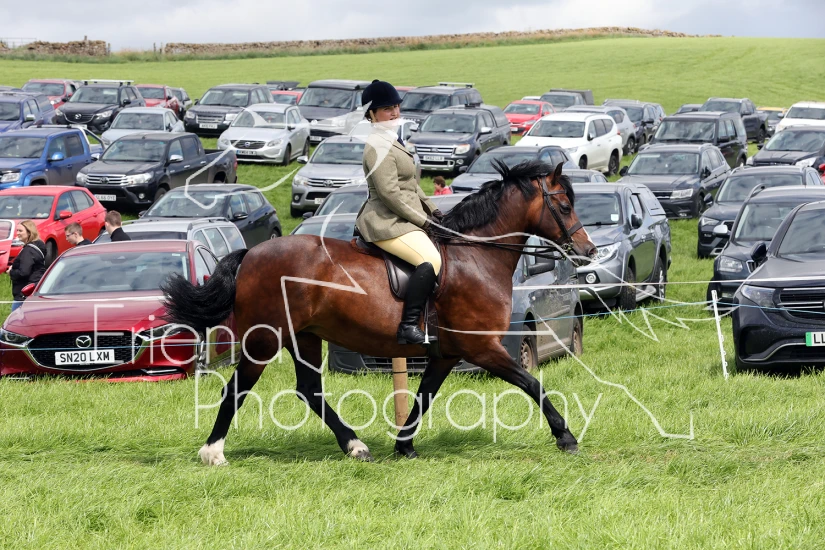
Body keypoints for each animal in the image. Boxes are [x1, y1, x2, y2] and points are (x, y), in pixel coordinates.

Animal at [162, 160, 597, 465]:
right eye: (563, 205)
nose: (588, 251)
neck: (476, 255)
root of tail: (251, 253)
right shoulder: (483, 347)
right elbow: (533, 384)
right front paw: (566, 436)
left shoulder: (447, 353)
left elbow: (424, 397)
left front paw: (404, 446)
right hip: (266, 339)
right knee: (238, 388)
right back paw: (213, 453)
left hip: (305, 336)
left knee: (310, 389)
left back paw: (356, 446)